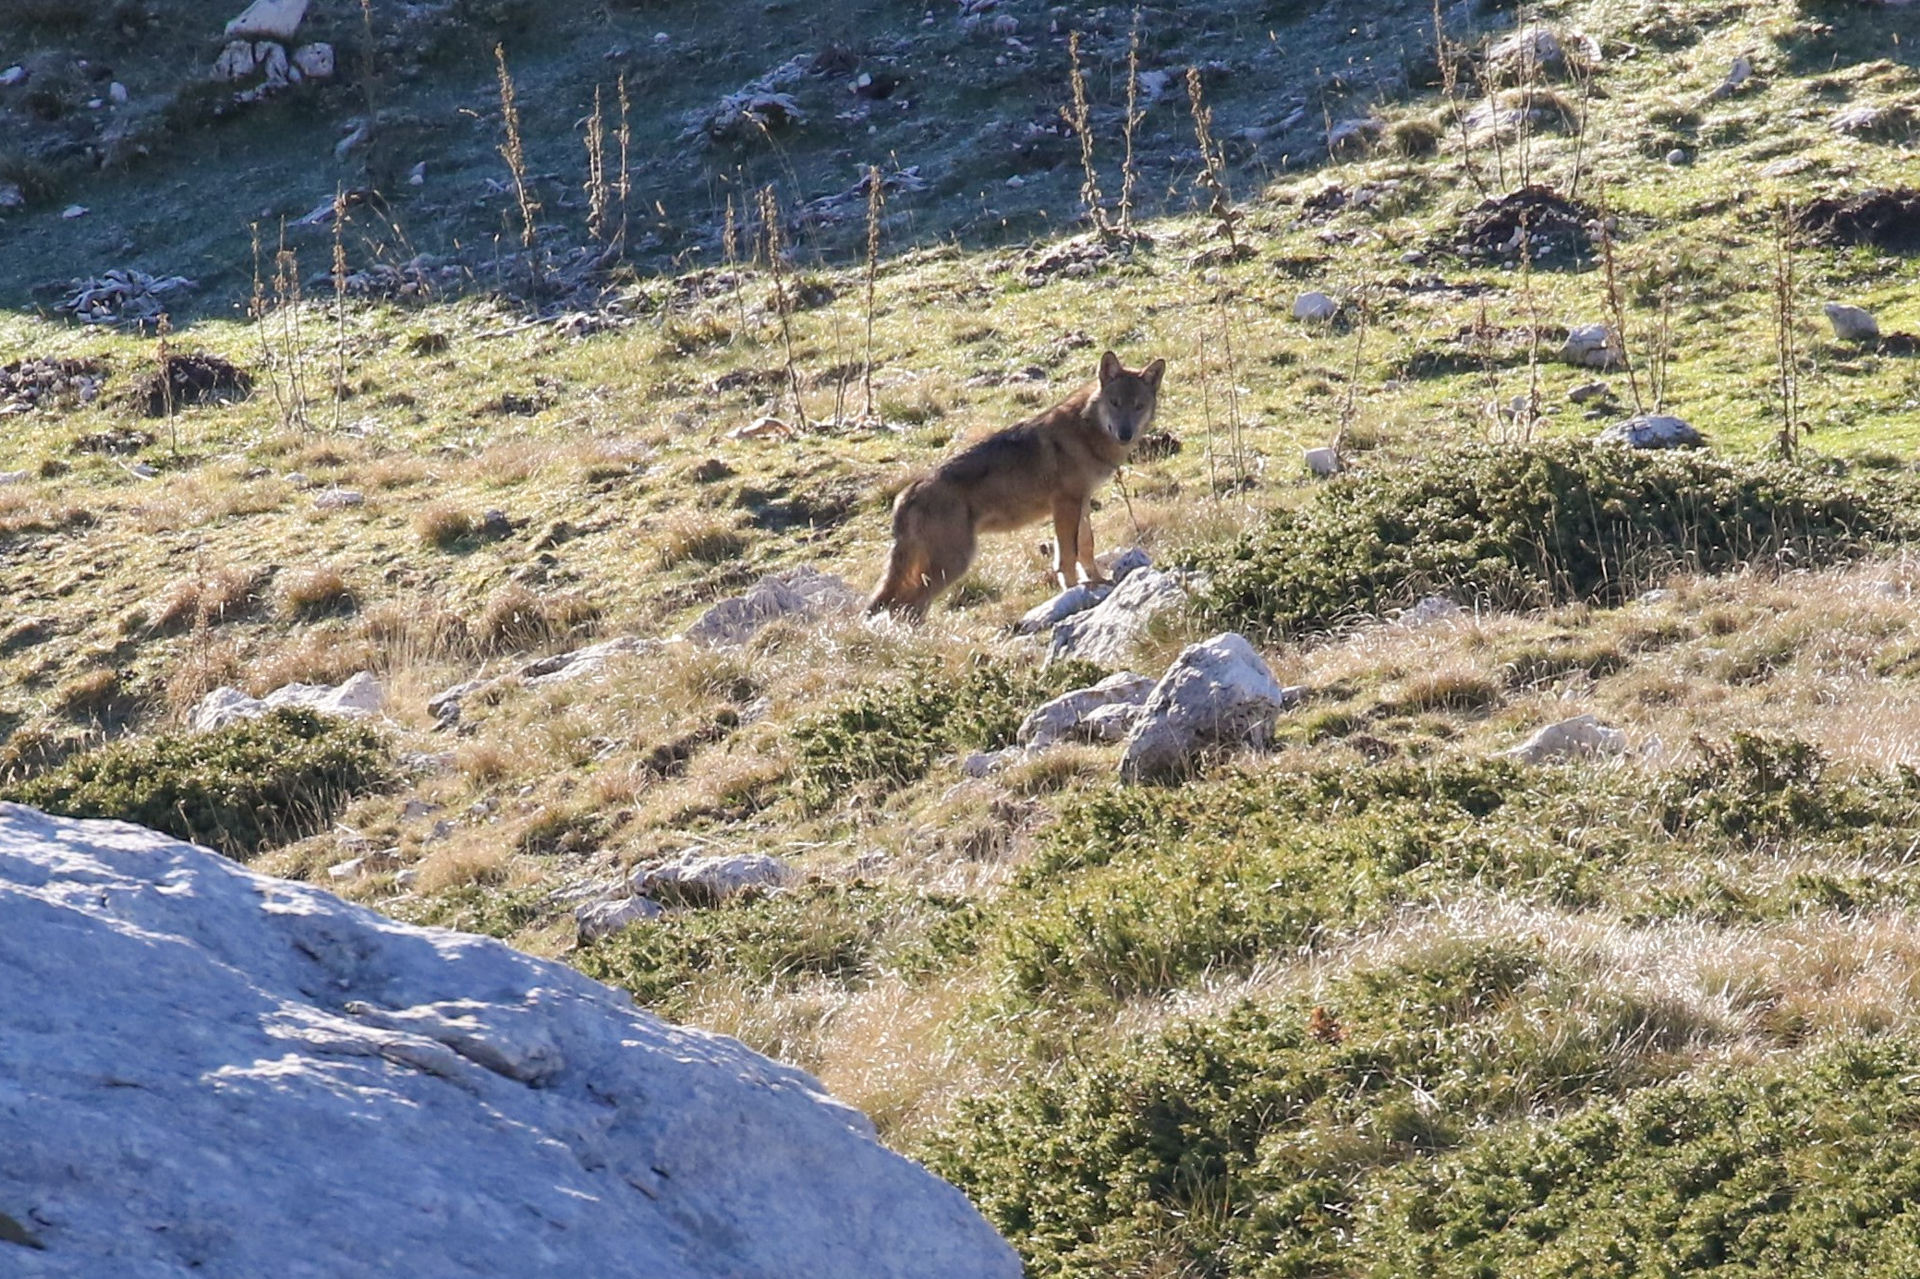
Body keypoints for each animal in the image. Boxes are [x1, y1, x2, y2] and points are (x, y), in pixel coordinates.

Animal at [875, 349, 1167, 618]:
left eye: (1138, 406)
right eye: (1115, 403)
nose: (1125, 434)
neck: (1086, 433)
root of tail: (906, 494)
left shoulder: (1082, 502)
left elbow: (1085, 547)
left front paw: (1097, 582)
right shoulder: (1066, 504)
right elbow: (1068, 556)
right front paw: (1074, 593)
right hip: (955, 562)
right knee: (904, 605)